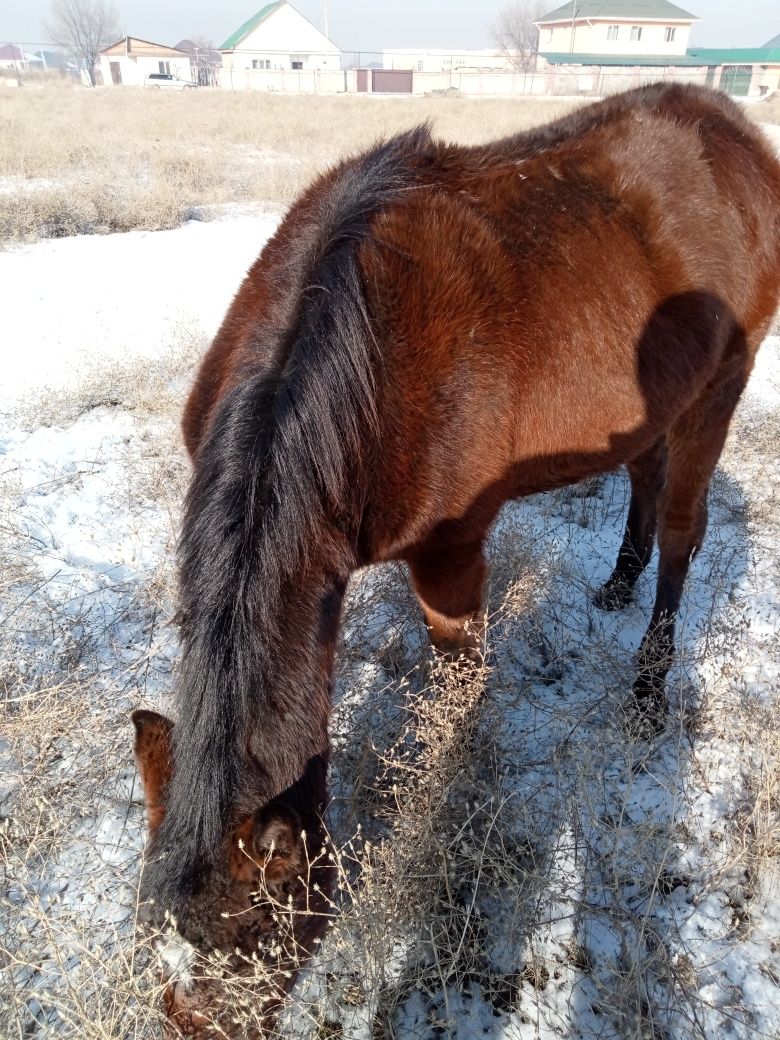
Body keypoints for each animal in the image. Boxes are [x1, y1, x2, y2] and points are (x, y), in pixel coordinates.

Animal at [131, 83, 777, 1031]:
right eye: (162, 960)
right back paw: (618, 582)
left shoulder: (452, 553)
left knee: (685, 532)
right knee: (646, 470)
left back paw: (650, 684)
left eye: (253, 947)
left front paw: (453, 807)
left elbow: (458, 689)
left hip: (724, 380)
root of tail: (733, 131)